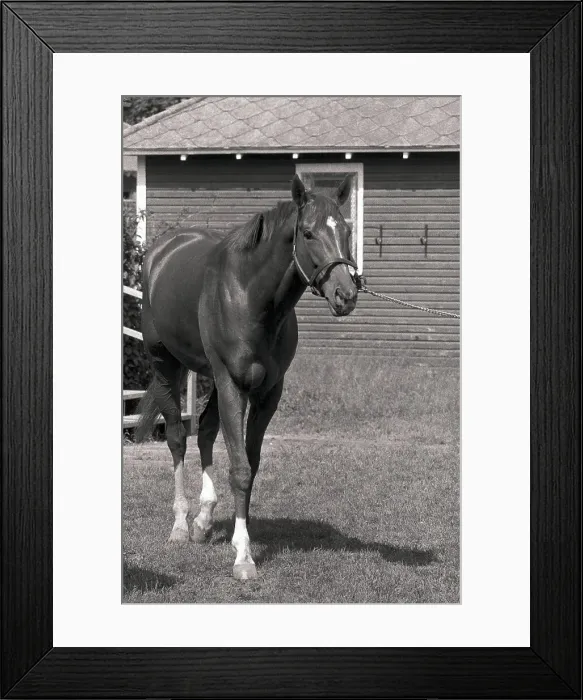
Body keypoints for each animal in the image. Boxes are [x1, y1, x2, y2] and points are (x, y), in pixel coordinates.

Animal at [135, 174, 359, 580]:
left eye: (346, 230)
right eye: (307, 233)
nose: (345, 294)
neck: (250, 296)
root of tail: (162, 251)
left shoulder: (268, 392)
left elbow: (249, 465)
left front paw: (238, 536)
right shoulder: (231, 383)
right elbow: (239, 468)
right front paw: (243, 556)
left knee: (205, 431)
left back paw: (204, 519)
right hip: (166, 367)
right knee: (177, 438)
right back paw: (180, 525)